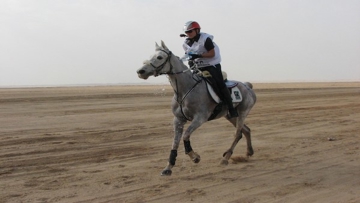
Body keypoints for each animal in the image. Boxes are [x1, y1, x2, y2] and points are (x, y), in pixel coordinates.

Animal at [135, 40, 256, 175]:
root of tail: (247, 85)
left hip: (242, 113)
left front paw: (195, 157)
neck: (186, 89)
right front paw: (168, 167)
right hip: (231, 116)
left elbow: (186, 135)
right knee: (246, 130)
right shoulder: (178, 120)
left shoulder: (199, 118)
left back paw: (225, 158)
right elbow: (174, 143)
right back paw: (248, 152)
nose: (140, 71)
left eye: (159, 57)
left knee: (237, 134)